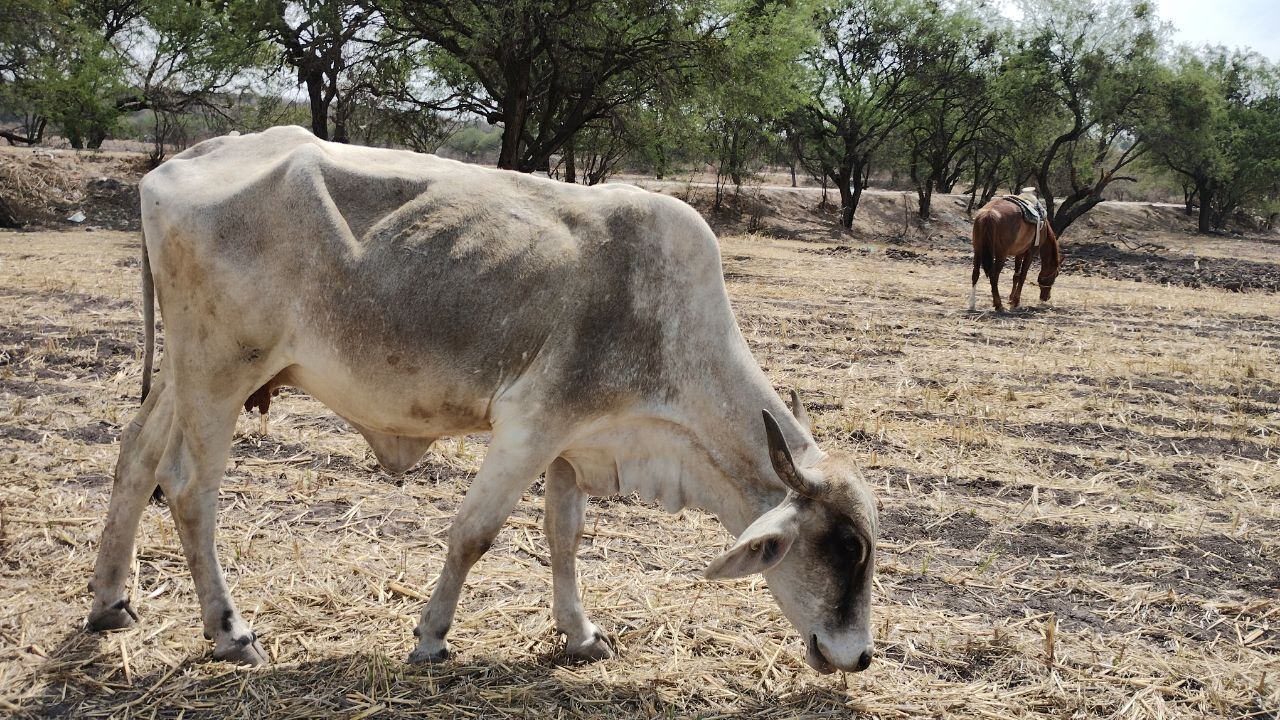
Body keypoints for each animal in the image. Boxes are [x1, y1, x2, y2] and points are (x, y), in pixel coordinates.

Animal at [82, 126, 880, 671]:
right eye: (845, 549)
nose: (862, 656)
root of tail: (179, 162)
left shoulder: (571, 440)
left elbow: (565, 536)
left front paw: (580, 634)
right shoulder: (530, 425)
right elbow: (474, 533)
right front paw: (431, 637)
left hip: (184, 375)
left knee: (135, 459)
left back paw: (110, 603)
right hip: (220, 374)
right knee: (189, 488)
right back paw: (229, 630)